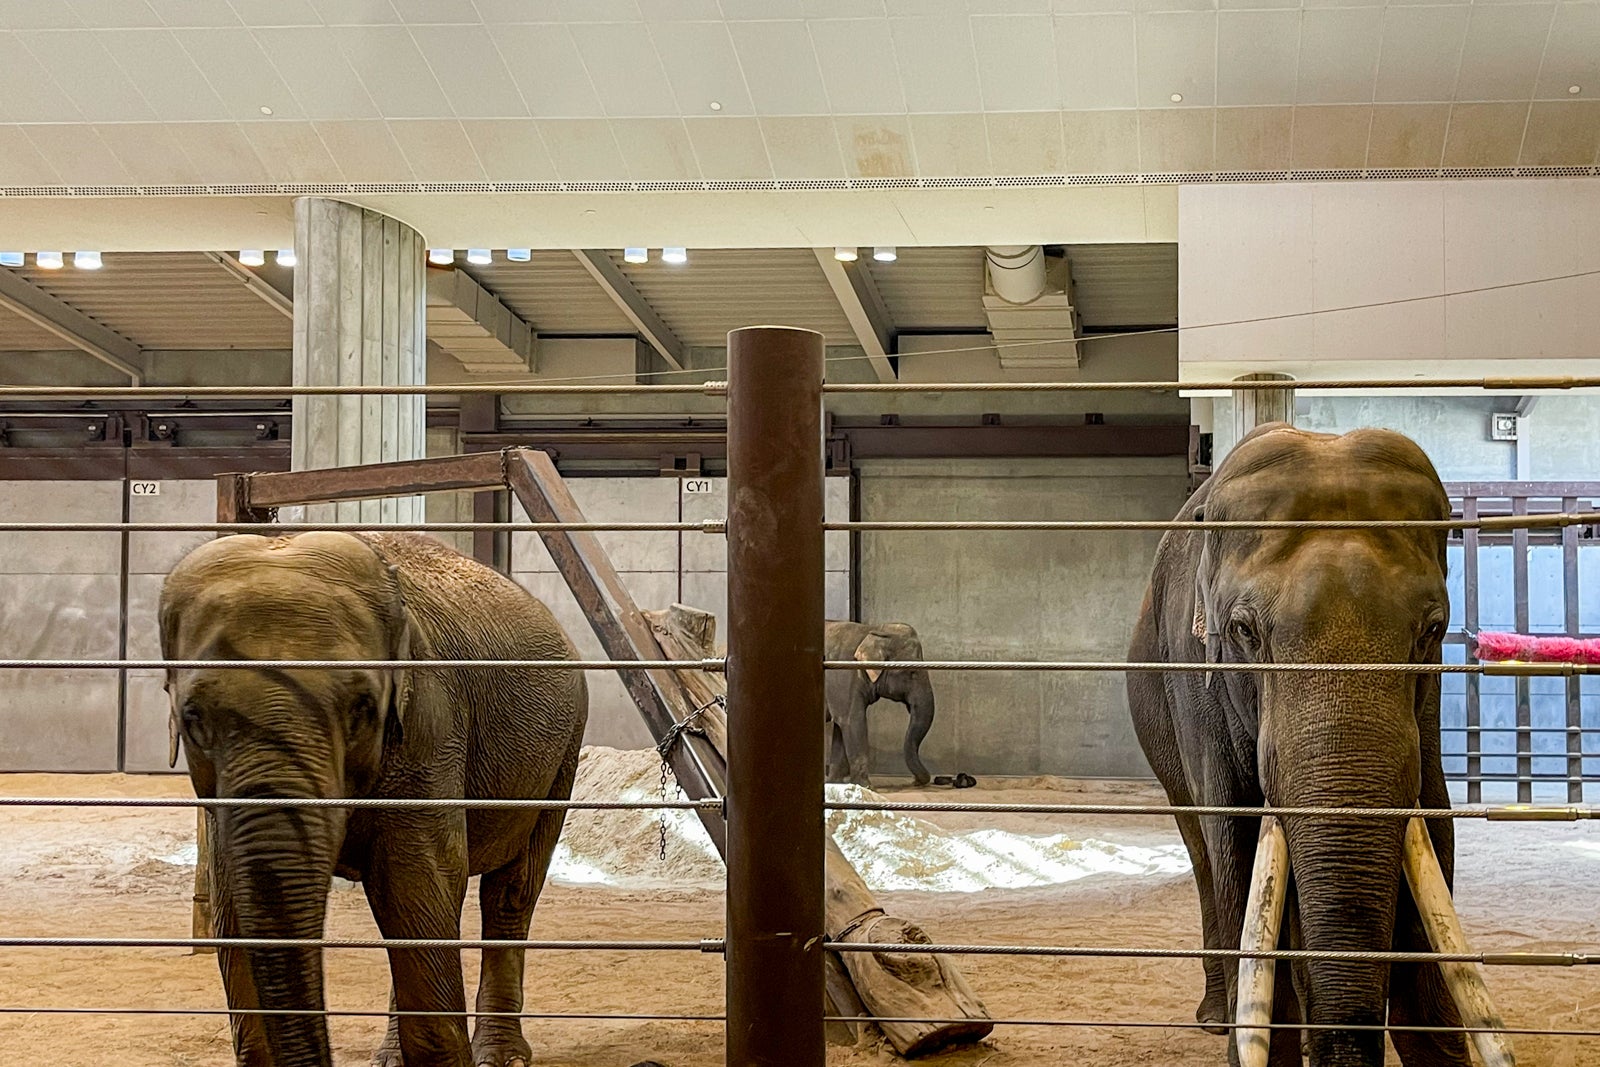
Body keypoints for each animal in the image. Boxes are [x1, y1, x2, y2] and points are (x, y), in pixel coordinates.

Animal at [159, 534, 588, 1067]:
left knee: (508, 893)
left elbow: (417, 881)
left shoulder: (429, 724)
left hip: (564, 751)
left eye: (362, 709)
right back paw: (391, 1057)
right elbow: (233, 902)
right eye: (192, 717)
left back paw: (500, 1055)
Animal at [825, 620, 934, 790]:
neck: (872, 630)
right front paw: (866, 787)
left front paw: (835, 784)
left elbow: (840, 725)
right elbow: (852, 721)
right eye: (912, 672)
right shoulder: (842, 675)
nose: (914, 781)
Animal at [1126, 425, 1472, 1067]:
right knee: (1203, 853)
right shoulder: (1197, 680)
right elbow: (1236, 844)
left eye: (1432, 630)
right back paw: (1215, 1017)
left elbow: (1436, 834)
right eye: (1244, 632)